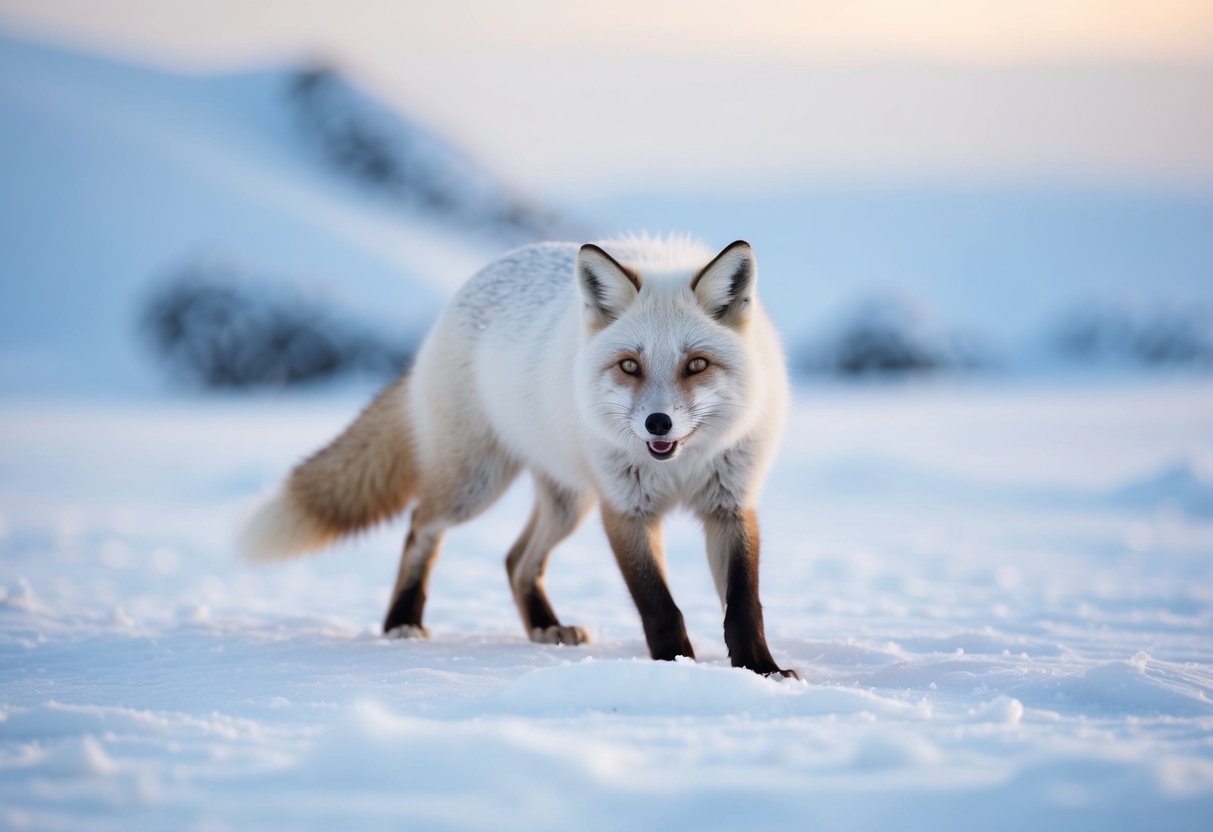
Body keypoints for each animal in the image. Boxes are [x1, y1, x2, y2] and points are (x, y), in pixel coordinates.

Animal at [241, 234, 797, 678]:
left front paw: (761, 670)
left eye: (696, 365)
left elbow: (743, 605)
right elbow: (659, 606)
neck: (679, 465)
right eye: (629, 366)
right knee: (421, 527)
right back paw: (402, 621)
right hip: (474, 486)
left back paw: (546, 627)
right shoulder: (625, 509)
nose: (656, 424)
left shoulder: (730, 504)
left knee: (516, 560)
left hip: (568, 504)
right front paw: (675, 666)